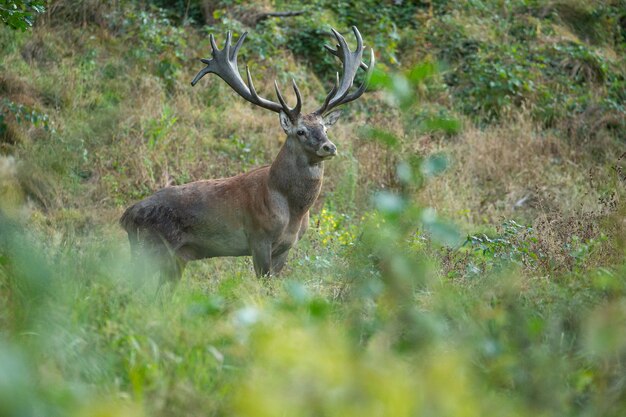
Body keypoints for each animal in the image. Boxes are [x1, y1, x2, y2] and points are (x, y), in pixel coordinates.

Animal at [119, 26, 372, 280]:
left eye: (325, 128)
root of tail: (126, 217)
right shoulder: (258, 237)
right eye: (301, 131)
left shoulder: (287, 247)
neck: (292, 210)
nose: (329, 146)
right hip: (151, 249)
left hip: (173, 257)